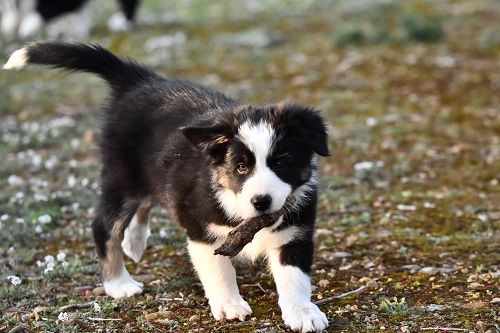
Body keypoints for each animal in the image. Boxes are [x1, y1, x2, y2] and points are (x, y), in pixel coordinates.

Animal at [5, 42, 330, 332]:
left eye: (282, 163)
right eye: (241, 167)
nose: (262, 202)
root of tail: (140, 80)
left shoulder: (294, 229)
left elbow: (294, 276)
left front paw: (303, 313)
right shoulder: (201, 228)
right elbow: (219, 271)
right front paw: (230, 306)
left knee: (146, 202)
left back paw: (134, 242)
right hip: (123, 177)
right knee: (104, 225)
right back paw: (119, 283)